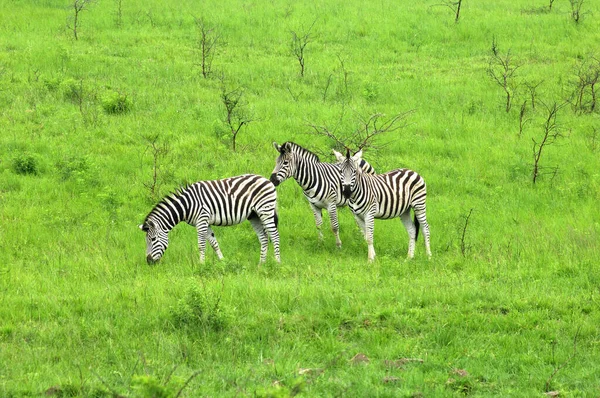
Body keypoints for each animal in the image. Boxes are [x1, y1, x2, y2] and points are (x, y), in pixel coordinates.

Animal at [141, 173, 282, 264]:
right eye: (146, 241)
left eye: (153, 239)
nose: (149, 262)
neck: (187, 205)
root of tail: (266, 180)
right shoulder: (206, 222)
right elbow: (214, 243)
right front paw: (222, 261)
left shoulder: (201, 220)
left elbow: (201, 245)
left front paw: (201, 264)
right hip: (254, 216)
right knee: (264, 238)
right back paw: (261, 264)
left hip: (265, 210)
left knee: (274, 235)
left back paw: (277, 262)